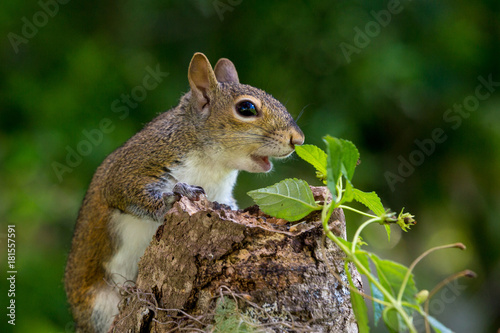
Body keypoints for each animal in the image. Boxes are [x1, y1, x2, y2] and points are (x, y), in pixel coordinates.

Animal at [62, 52, 304, 330]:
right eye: (246, 108)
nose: (298, 139)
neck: (213, 164)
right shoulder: (136, 163)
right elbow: (122, 190)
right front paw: (173, 198)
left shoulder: (220, 191)